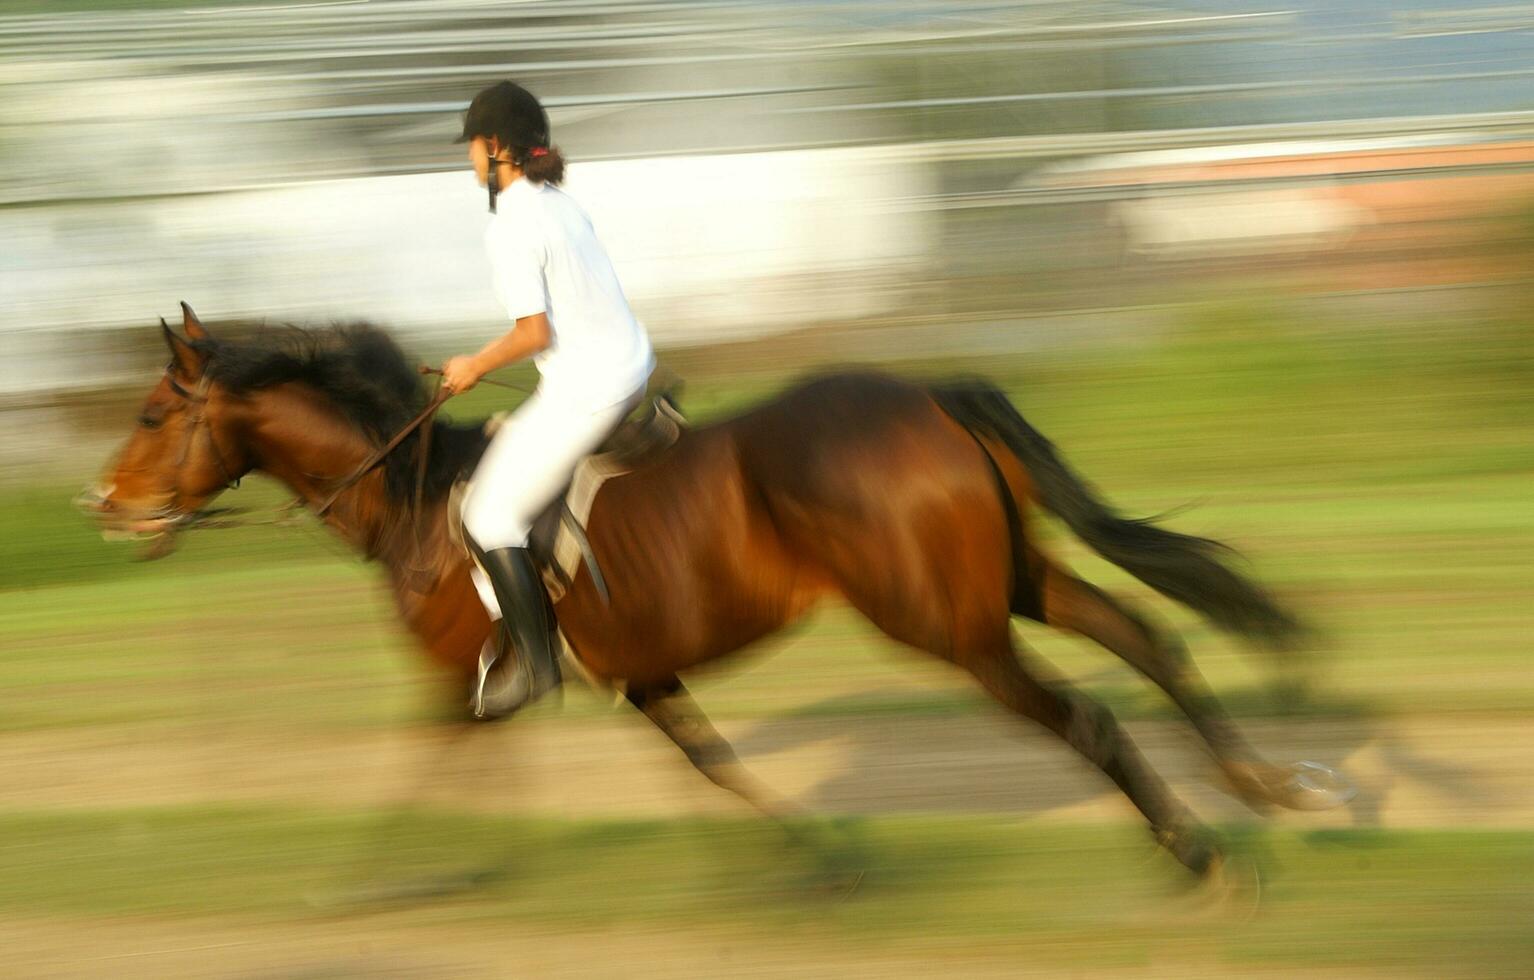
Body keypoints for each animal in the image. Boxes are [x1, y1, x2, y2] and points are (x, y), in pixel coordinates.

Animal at [83, 303, 1356, 883]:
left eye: (149, 414)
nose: (103, 507)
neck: (412, 494)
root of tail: (920, 393)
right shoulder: (641, 674)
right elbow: (714, 763)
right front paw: (817, 861)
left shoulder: (462, 680)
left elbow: (424, 774)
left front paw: (376, 884)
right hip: (1010, 585)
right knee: (1147, 637)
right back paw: (1273, 785)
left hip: (951, 626)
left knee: (1087, 712)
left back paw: (1201, 852)